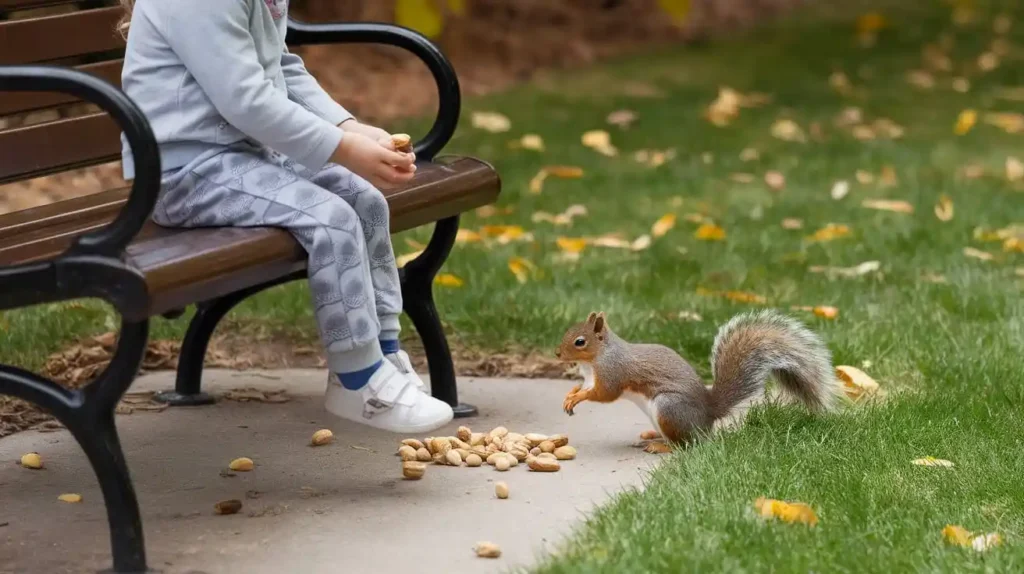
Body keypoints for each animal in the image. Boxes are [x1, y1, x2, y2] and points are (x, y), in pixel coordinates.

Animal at [557, 308, 843, 452]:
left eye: (580, 341)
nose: (558, 354)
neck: (594, 361)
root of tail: (708, 414)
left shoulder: (613, 372)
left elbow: (605, 394)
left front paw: (579, 398)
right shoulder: (590, 377)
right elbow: (583, 388)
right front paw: (571, 395)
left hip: (668, 407)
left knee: (685, 445)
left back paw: (660, 447)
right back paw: (652, 437)